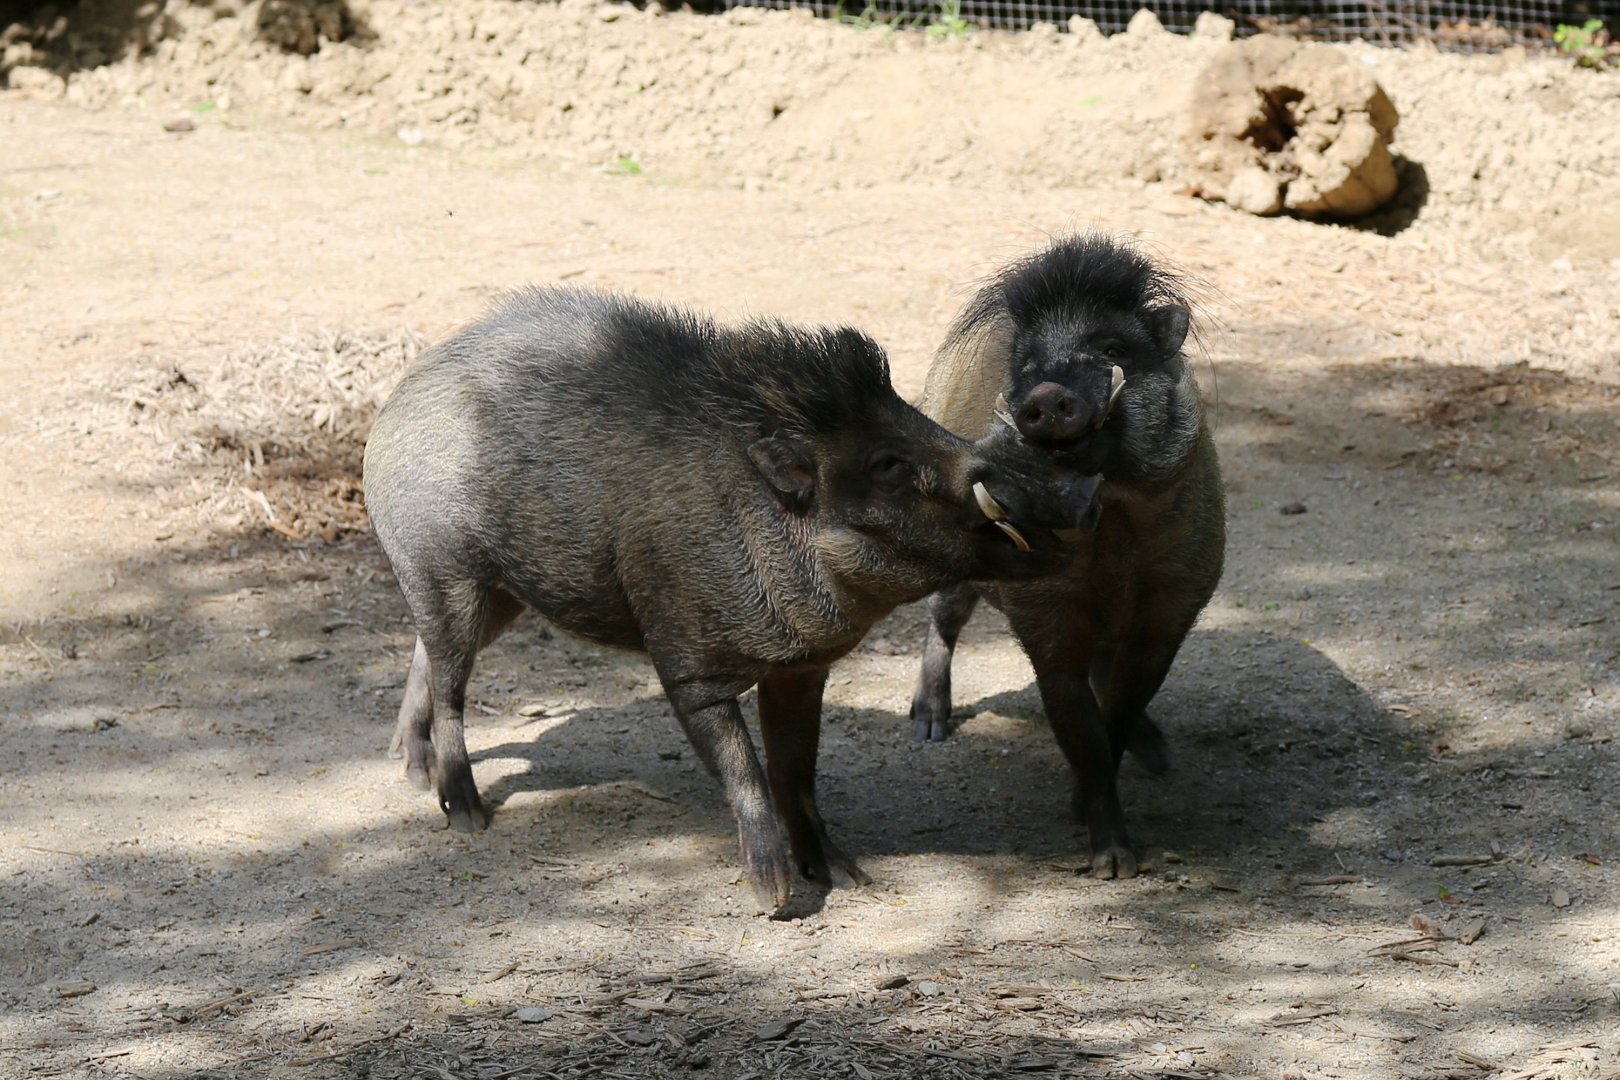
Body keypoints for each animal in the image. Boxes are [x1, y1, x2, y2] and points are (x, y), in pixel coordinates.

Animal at [363, 285, 1101, 913]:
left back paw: (408, 769)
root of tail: (399, 395)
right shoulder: (687, 667)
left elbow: (796, 774)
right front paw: (774, 901)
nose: (1069, 489)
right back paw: (466, 816)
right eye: (886, 463)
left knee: (427, 657)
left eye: (913, 415)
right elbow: (746, 773)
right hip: (443, 569)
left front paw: (847, 876)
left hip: (503, 595)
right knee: (451, 684)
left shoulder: (801, 671)